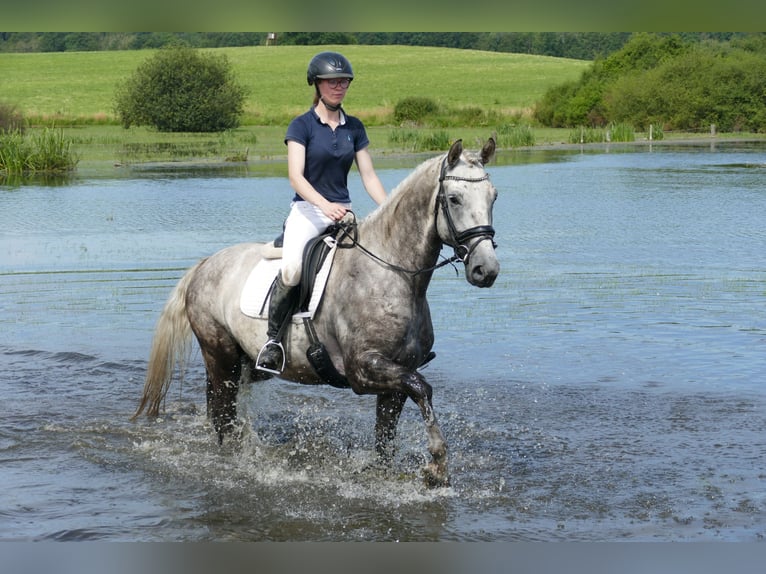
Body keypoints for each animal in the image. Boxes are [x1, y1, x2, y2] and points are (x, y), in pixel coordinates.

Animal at [134, 137, 500, 488]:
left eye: (493, 197)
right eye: (454, 199)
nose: (486, 270)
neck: (392, 272)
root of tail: (205, 264)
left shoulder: (396, 377)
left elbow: (387, 438)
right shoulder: (363, 371)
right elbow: (423, 388)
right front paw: (437, 465)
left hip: (245, 363)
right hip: (219, 355)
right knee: (223, 416)